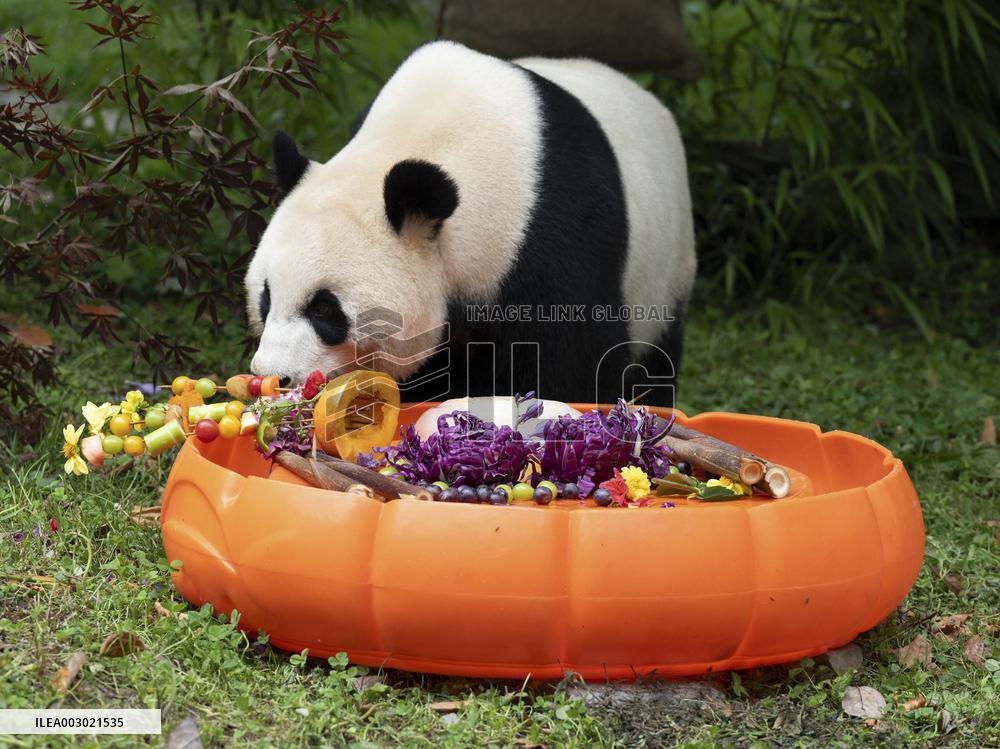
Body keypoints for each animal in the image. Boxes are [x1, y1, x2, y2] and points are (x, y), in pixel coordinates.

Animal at [245, 40, 695, 406]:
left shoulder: (553, 234)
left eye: (325, 308)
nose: (275, 376)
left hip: (667, 274)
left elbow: (571, 361)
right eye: (266, 296)